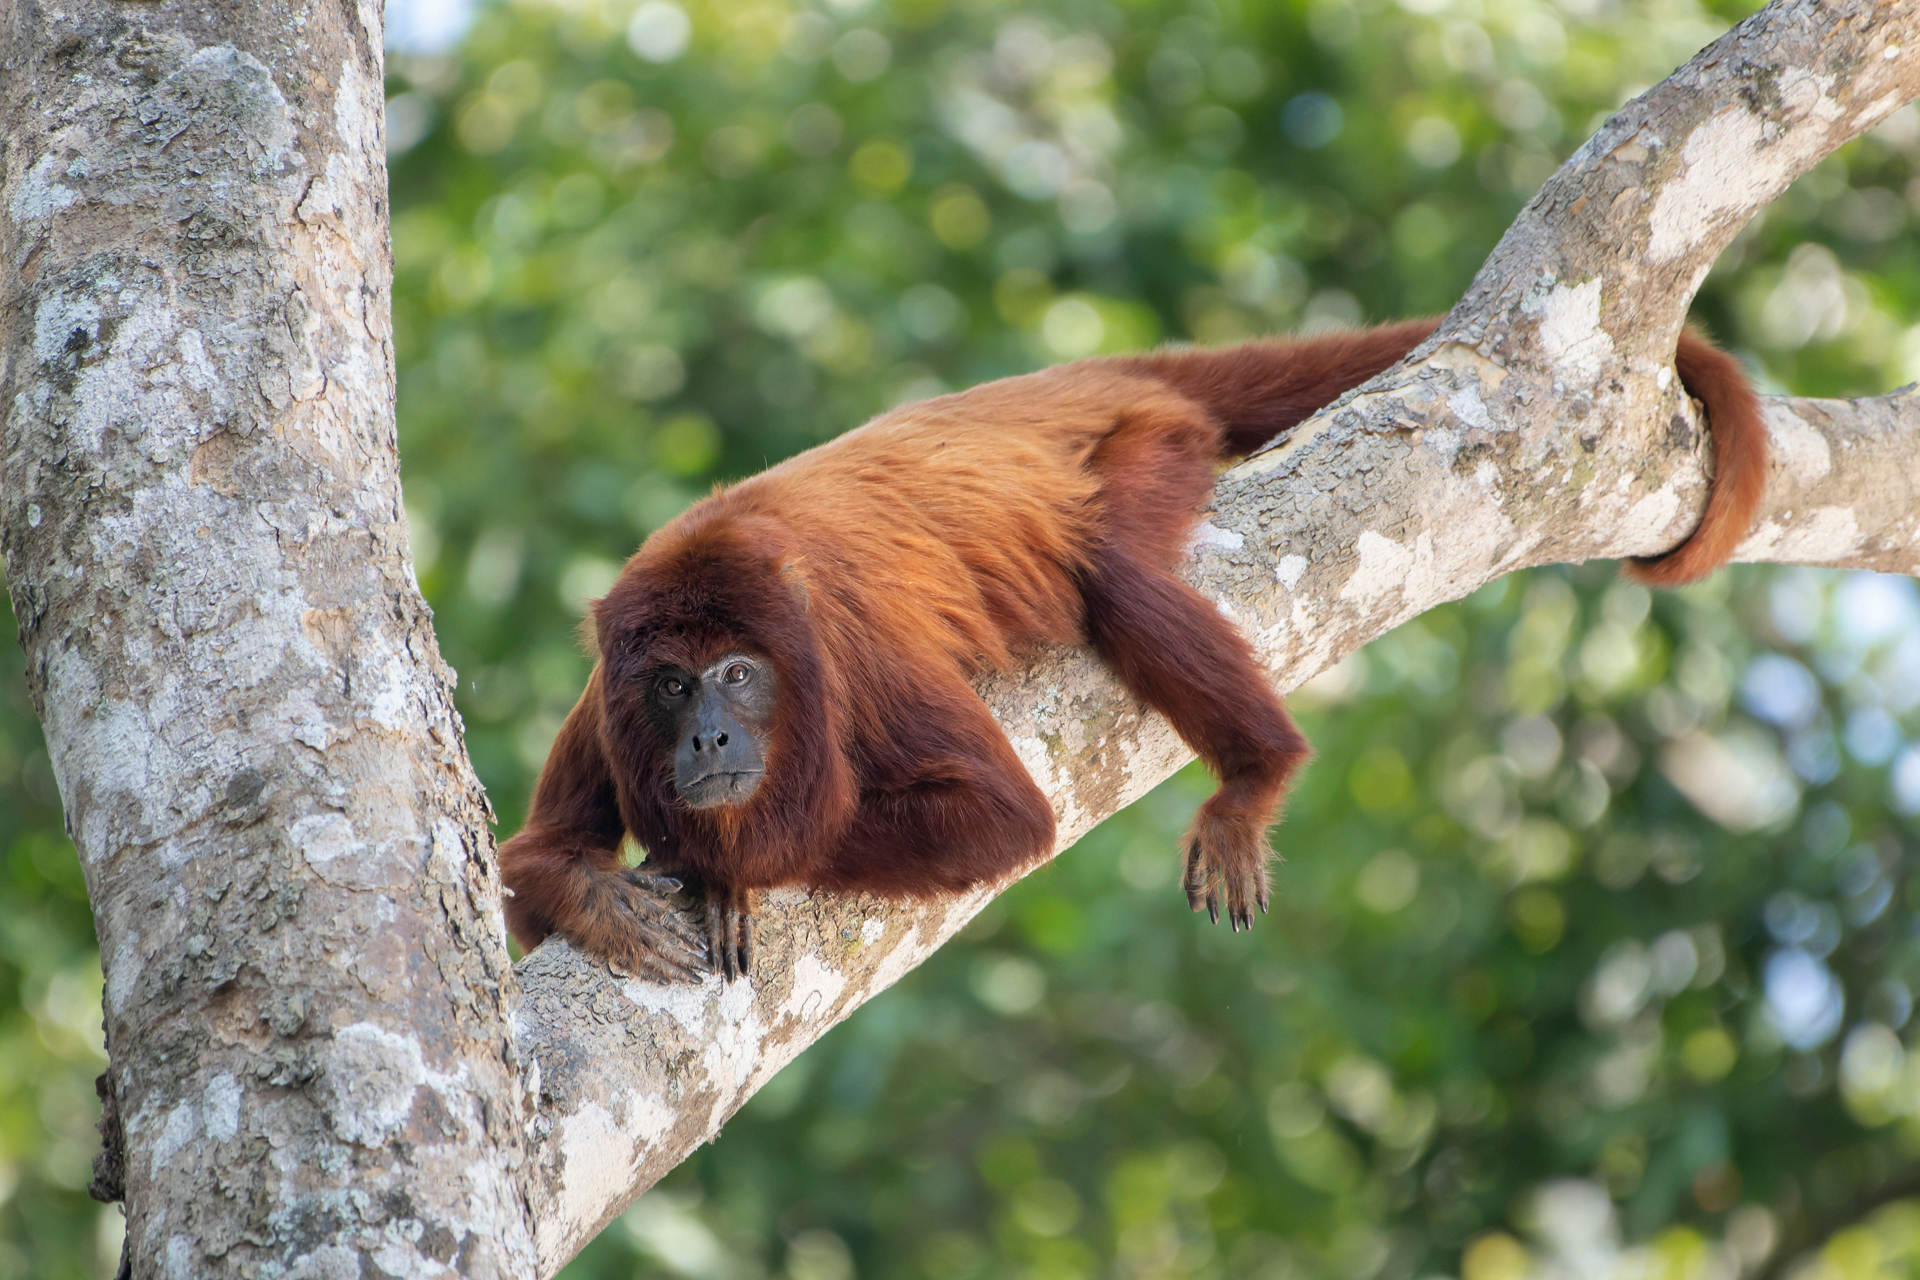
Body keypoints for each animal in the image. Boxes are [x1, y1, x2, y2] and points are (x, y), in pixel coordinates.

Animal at [499, 318, 1766, 982]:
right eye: (672, 684)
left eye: (739, 676)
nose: (709, 736)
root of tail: (1093, 371)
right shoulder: (599, 702)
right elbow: (523, 870)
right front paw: (599, 892)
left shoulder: (857, 662)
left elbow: (1000, 816)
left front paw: (726, 869)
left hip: (1152, 443)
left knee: (1114, 576)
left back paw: (1256, 772)